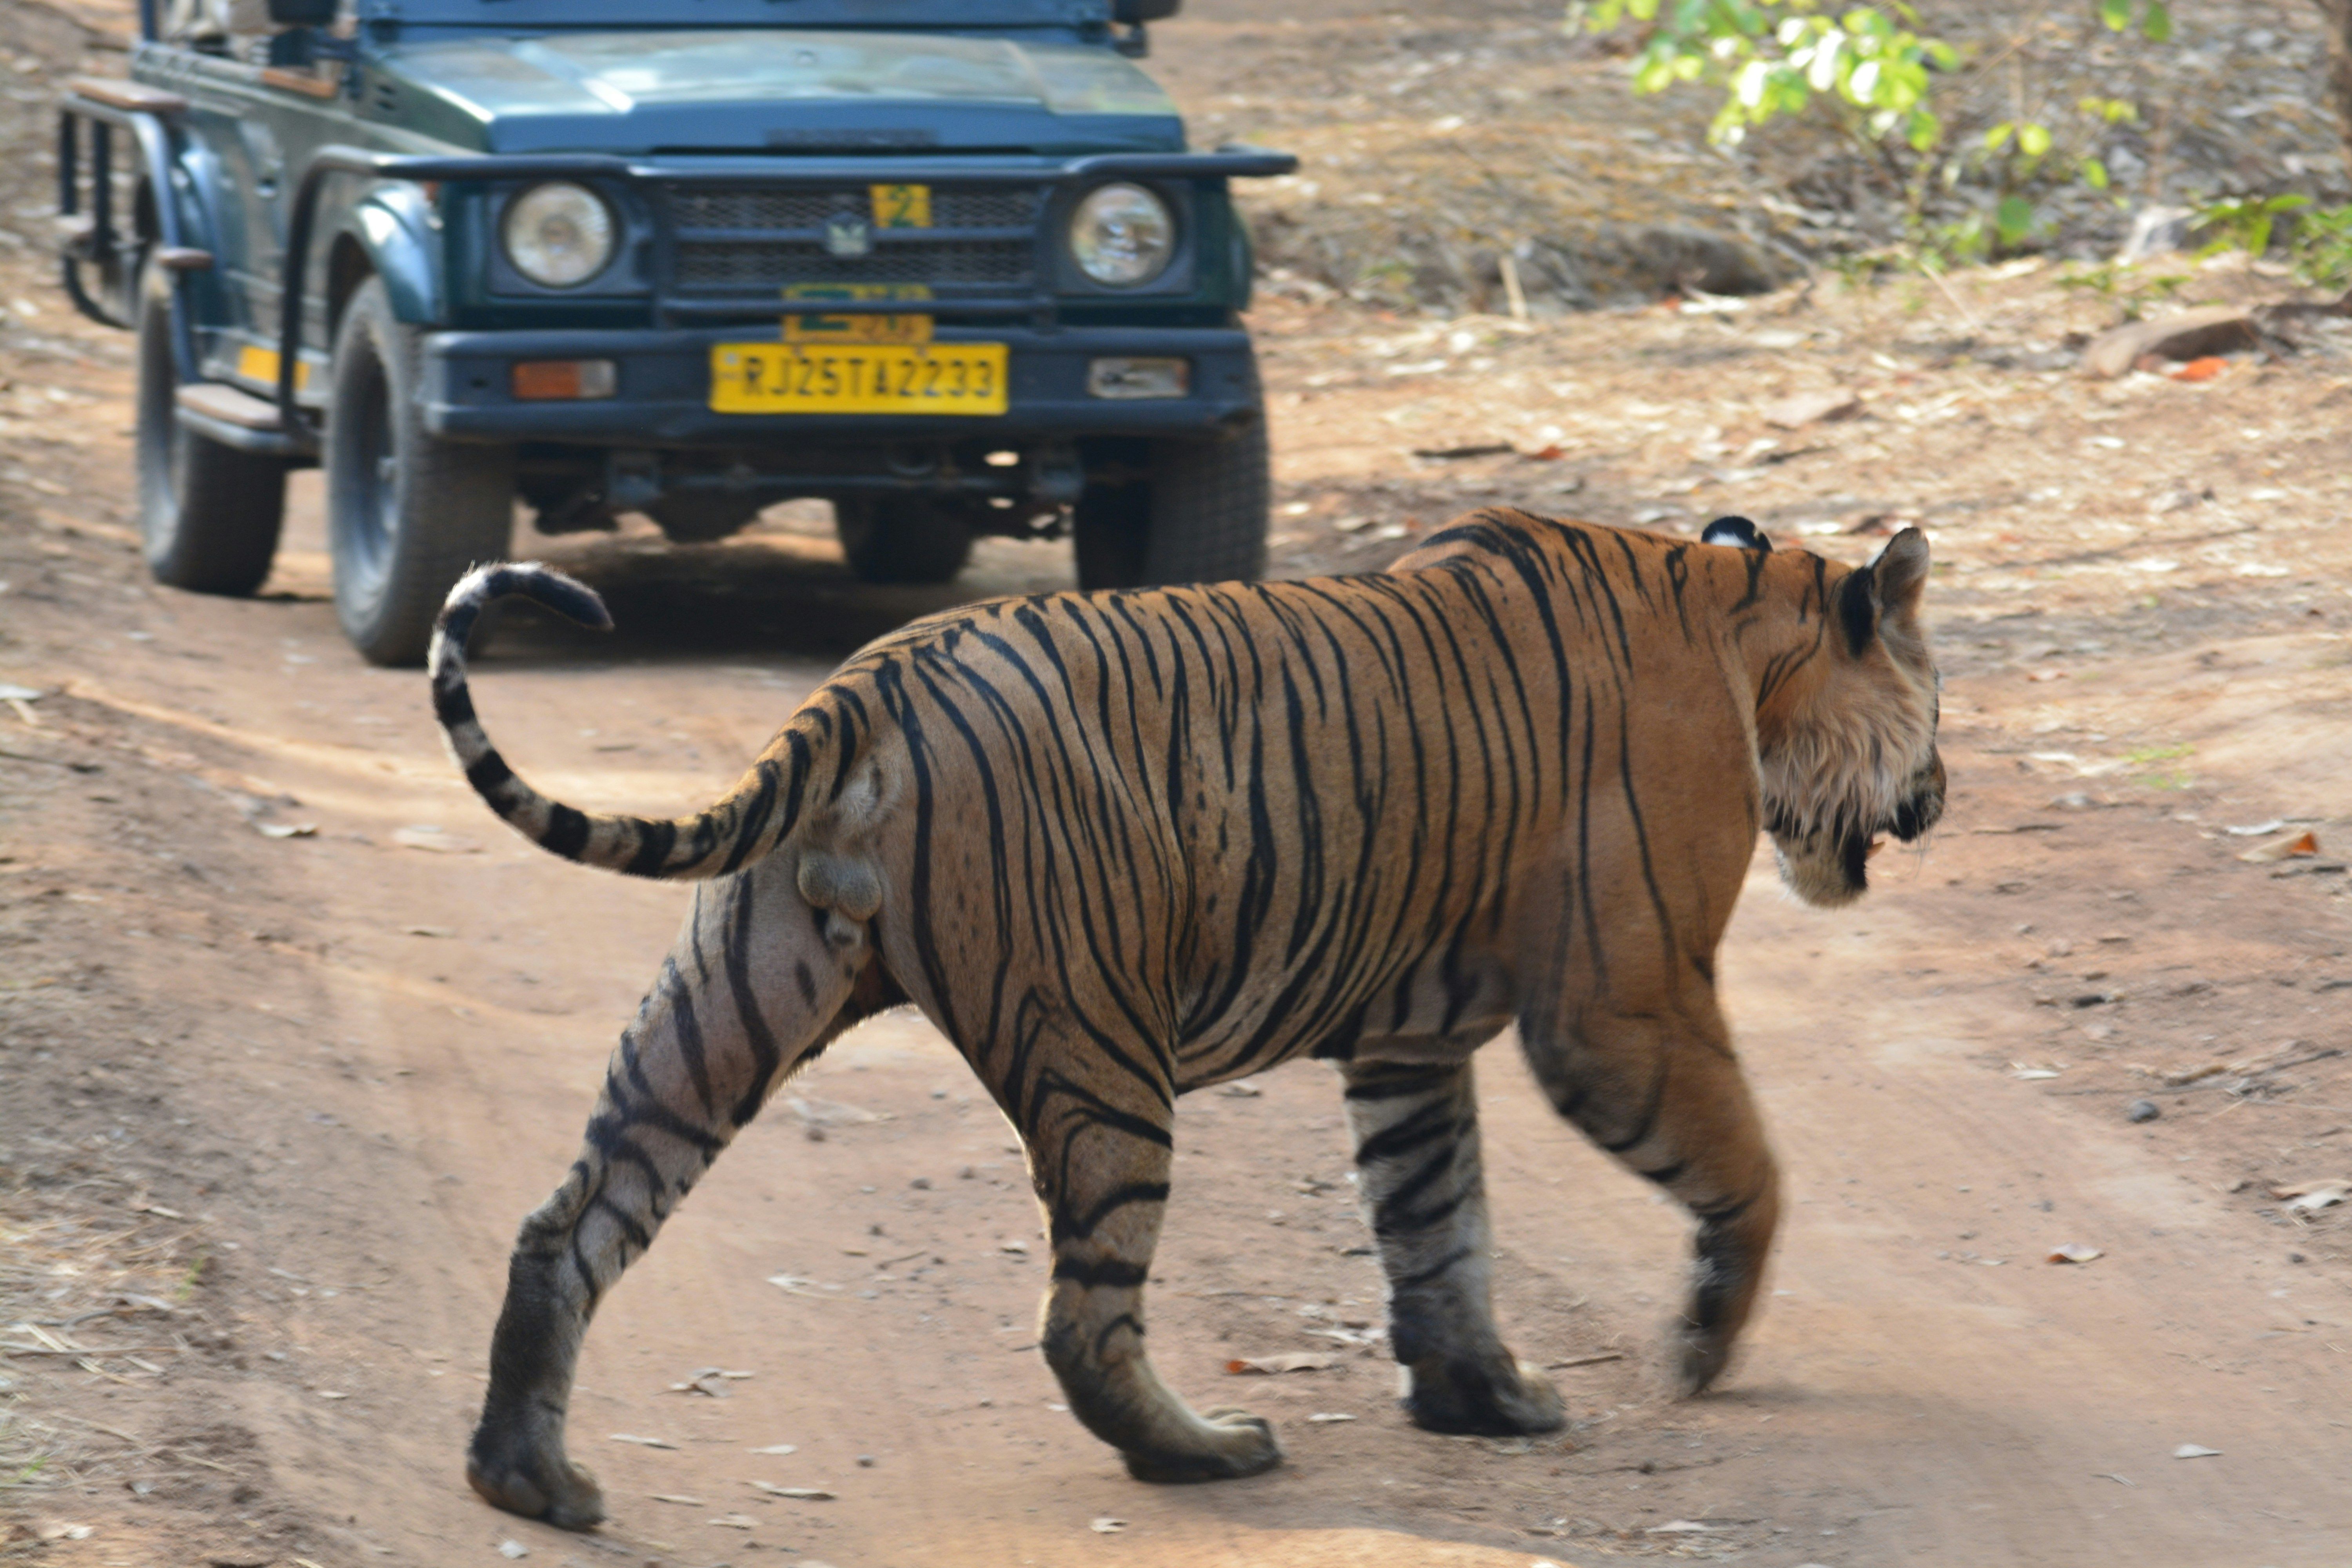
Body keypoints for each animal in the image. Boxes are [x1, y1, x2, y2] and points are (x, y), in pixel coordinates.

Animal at [438, 509, 1944, 1528]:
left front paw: (1482, 1399)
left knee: (568, 1224)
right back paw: (1204, 1450)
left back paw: (528, 1478)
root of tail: (871, 680)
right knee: (1081, 1318)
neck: (1740, 626)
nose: (1937, 799)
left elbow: (1434, 1217)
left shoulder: (1406, 1042)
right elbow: (1746, 1169)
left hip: (730, 998)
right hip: (1101, 1047)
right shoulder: (1624, 999)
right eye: (1934, 703)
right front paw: (1697, 1346)